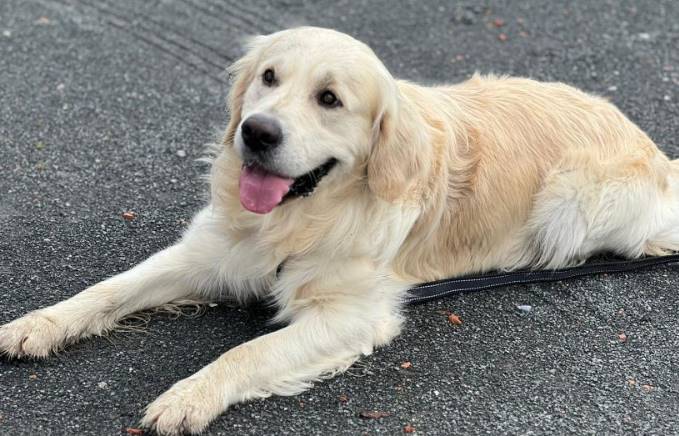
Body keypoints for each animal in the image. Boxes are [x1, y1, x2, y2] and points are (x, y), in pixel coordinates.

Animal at [1, 27, 679, 432]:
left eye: (329, 99)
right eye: (269, 78)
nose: (257, 132)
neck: (301, 217)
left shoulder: (352, 314)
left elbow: (248, 352)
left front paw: (189, 397)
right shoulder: (211, 251)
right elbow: (108, 290)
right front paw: (40, 324)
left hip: (572, 206)